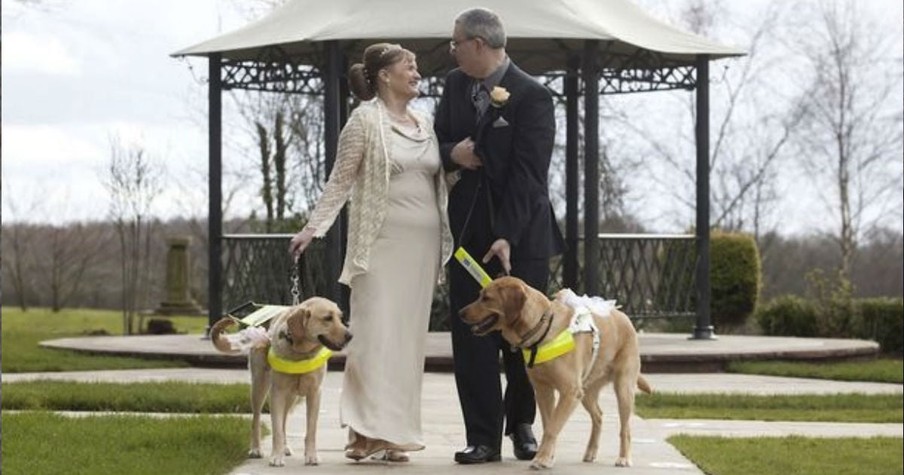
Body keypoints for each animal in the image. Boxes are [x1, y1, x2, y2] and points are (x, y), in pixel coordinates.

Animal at [212, 298, 354, 468]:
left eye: (340, 317)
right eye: (327, 318)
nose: (350, 336)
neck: (301, 353)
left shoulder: (315, 393)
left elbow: (310, 430)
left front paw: (311, 456)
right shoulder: (277, 393)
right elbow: (276, 429)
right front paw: (276, 456)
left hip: (292, 397)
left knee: (284, 420)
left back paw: (285, 447)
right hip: (259, 386)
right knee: (256, 419)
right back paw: (256, 449)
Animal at [460, 278, 648, 470]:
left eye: (486, 298)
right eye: (480, 295)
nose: (460, 313)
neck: (542, 329)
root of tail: (623, 316)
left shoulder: (569, 393)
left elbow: (552, 428)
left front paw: (541, 459)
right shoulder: (544, 391)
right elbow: (549, 425)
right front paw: (547, 457)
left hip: (623, 388)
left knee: (625, 428)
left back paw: (624, 457)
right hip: (586, 391)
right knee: (598, 416)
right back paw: (591, 451)